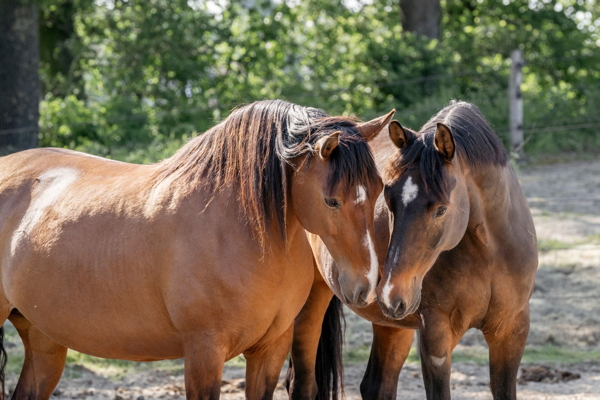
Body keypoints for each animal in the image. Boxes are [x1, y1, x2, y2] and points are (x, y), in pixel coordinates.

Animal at [0, 99, 396, 396]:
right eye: (331, 201)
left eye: (380, 191)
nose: (364, 285)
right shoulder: (204, 353)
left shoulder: (270, 350)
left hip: (43, 339)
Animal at [288, 101, 540, 400]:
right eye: (389, 200)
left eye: (441, 209)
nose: (389, 293)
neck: (490, 254)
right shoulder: (435, 338)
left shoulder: (511, 333)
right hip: (312, 304)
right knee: (302, 383)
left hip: (392, 322)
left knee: (377, 385)